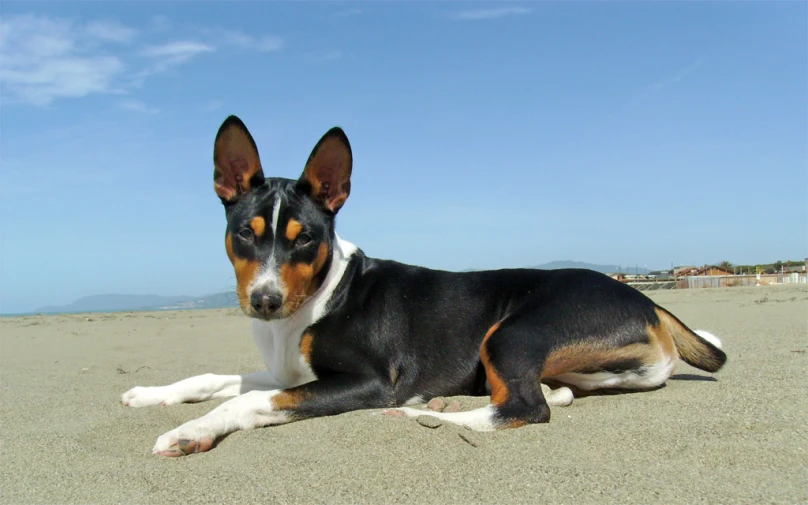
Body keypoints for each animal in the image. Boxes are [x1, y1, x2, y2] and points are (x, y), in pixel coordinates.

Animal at [121, 115, 724, 456]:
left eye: (306, 238)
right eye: (245, 233)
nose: (265, 301)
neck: (317, 297)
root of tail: (645, 298)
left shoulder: (366, 381)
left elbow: (249, 401)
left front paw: (190, 431)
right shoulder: (287, 371)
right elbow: (212, 378)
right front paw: (152, 394)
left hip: (512, 332)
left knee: (527, 407)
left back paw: (425, 412)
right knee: (557, 393)